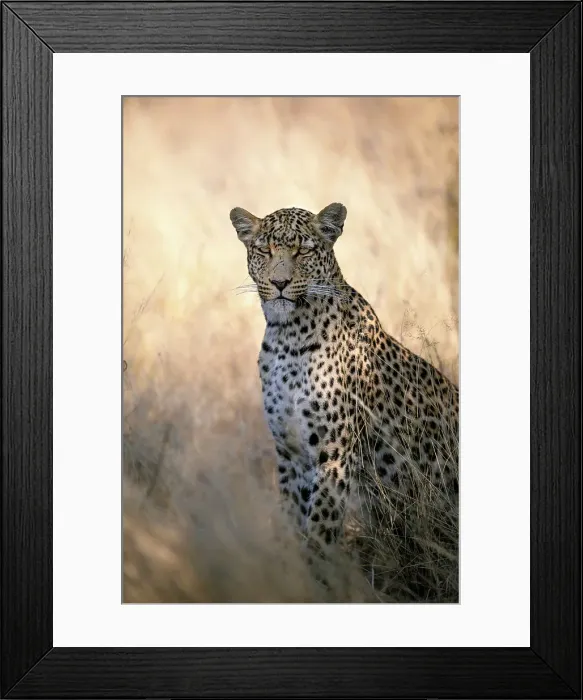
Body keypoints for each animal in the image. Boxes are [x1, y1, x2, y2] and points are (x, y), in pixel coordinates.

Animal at [230, 203, 458, 588]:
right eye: (265, 250)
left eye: (303, 251)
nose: (279, 284)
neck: (286, 336)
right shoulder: (290, 454)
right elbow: (292, 518)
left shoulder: (334, 454)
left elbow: (320, 530)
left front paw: (315, 580)